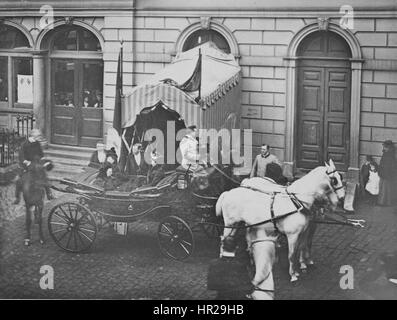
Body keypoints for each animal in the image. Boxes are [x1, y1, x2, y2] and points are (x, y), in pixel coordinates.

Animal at [215, 159, 344, 284]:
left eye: (340, 177)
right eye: (334, 180)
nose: (341, 198)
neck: (297, 202)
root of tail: (228, 192)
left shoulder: (305, 231)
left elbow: (302, 247)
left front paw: (301, 266)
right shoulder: (293, 235)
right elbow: (292, 254)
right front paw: (293, 275)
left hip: (240, 224)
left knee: (238, 236)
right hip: (230, 224)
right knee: (223, 238)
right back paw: (223, 255)